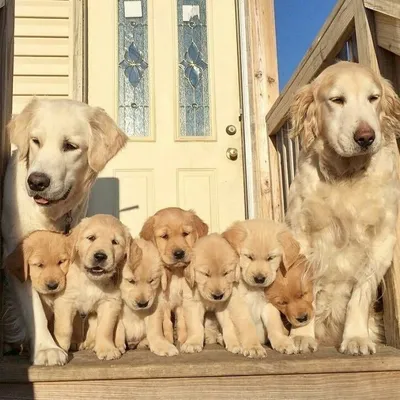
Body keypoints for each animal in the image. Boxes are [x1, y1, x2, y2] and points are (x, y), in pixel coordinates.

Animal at [52, 214, 130, 360]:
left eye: (115, 242)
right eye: (91, 238)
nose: (100, 256)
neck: (91, 281)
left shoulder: (110, 302)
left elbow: (105, 328)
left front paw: (106, 349)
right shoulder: (66, 300)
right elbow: (64, 328)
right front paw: (59, 347)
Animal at [141, 206, 208, 344]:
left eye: (185, 234)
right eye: (165, 236)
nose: (179, 253)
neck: (175, 272)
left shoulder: (182, 300)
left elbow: (182, 320)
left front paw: (182, 339)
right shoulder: (163, 301)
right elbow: (166, 322)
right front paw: (168, 339)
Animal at [222, 220, 300, 354]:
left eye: (271, 258)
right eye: (249, 257)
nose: (259, 279)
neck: (254, 289)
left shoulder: (269, 303)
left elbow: (274, 323)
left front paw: (282, 342)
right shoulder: (238, 303)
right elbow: (247, 325)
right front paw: (253, 346)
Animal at [286, 61, 400, 354]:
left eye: (374, 98)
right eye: (337, 100)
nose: (366, 137)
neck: (345, 176)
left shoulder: (382, 240)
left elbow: (361, 293)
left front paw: (356, 338)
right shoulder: (300, 234)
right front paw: (301, 335)